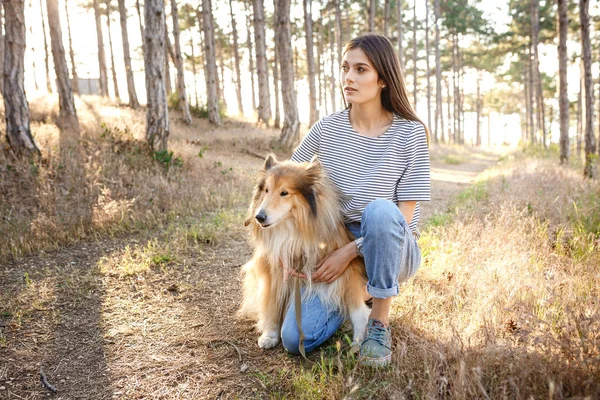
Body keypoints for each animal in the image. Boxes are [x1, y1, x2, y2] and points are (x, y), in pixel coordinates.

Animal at [237, 155, 368, 348]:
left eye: (284, 193)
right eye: (266, 190)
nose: (259, 217)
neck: (292, 228)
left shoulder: (346, 268)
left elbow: (357, 309)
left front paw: (359, 340)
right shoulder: (273, 270)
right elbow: (271, 303)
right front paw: (270, 335)